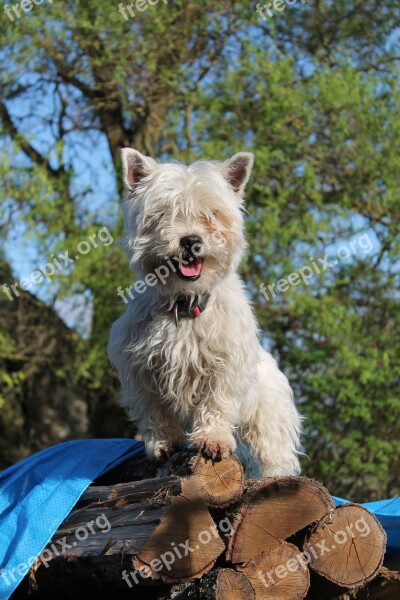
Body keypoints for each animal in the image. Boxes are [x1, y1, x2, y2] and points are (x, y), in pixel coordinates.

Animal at [108, 150, 302, 478]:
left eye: (212, 214)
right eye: (164, 213)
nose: (190, 240)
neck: (185, 303)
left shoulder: (225, 366)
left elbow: (216, 404)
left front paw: (213, 440)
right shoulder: (141, 369)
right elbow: (155, 411)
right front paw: (163, 444)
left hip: (268, 421)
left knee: (273, 455)